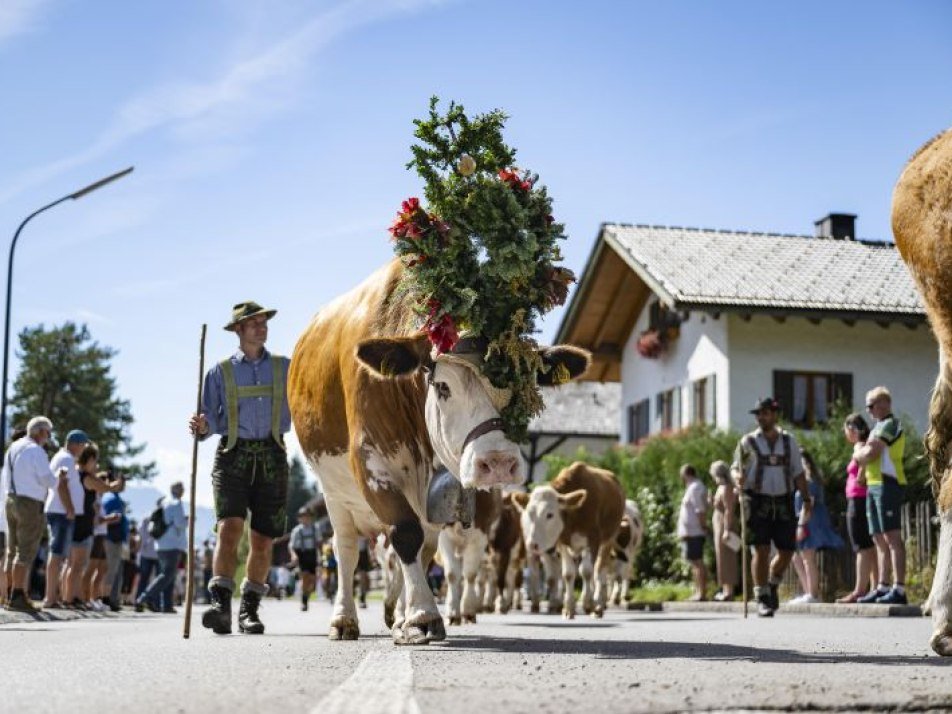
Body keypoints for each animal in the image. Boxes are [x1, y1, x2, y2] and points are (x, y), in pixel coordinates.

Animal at [516, 458, 628, 616]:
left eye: (550, 514)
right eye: (529, 513)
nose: (532, 544)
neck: (574, 514)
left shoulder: (593, 541)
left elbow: (586, 571)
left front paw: (587, 604)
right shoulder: (563, 543)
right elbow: (568, 574)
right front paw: (569, 607)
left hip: (609, 540)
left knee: (599, 570)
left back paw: (598, 604)